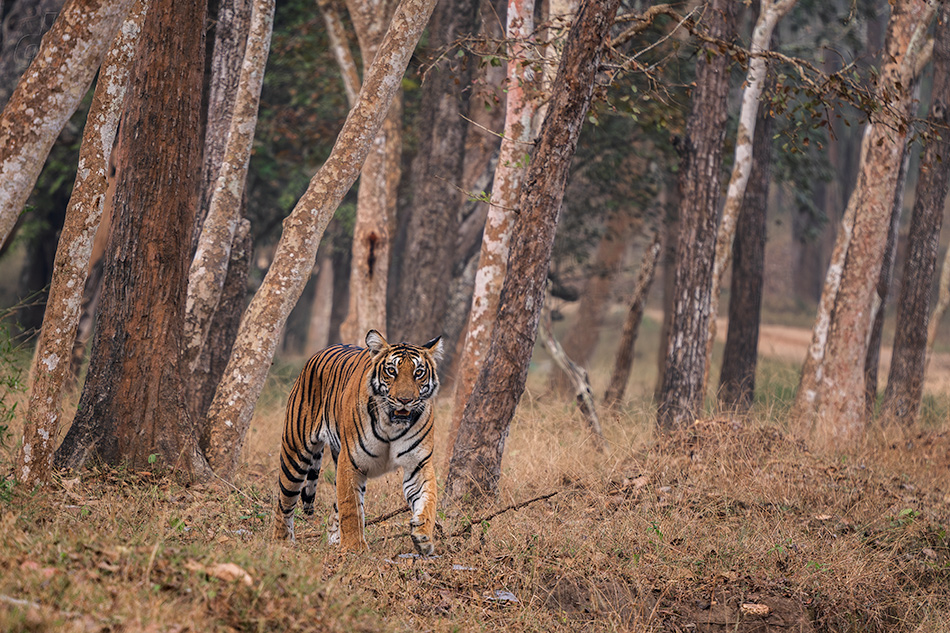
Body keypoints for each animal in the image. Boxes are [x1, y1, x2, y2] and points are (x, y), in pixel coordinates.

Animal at [272, 328, 442, 556]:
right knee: (285, 501)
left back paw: (334, 539)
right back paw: (282, 541)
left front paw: (423, 536)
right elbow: (351, 507)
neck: (392, 424)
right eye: (391, 371)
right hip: (295, 453)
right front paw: (354, 547)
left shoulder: (418, 464)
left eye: (419, 373)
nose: (405, 400)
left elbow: (428, 498)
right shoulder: (351, 461)